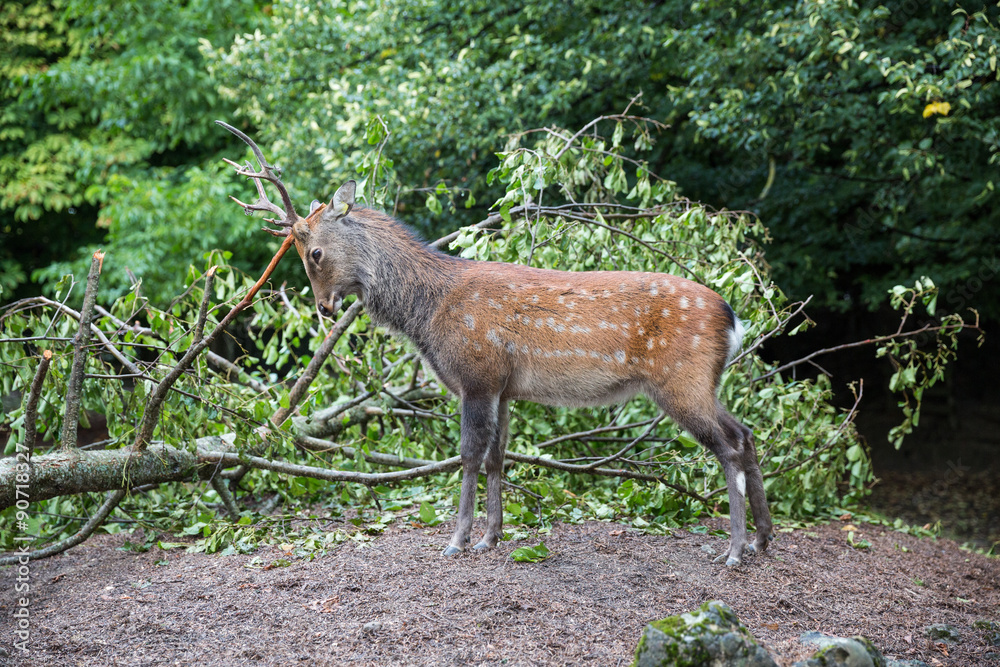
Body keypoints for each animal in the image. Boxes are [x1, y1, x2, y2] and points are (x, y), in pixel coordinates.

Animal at [218, 121, 773, 567]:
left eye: (313, 252)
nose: (325, 308)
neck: (428, 314)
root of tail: (732, 318)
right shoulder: (505, 387)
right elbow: (496, 457)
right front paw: (492, 536)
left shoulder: (476, 373)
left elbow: (467, 455)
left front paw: (457, 540)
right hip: (702, 380)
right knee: (746, 434)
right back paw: (763, 540)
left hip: (680, 378)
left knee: (727, 444)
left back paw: (733, 550)